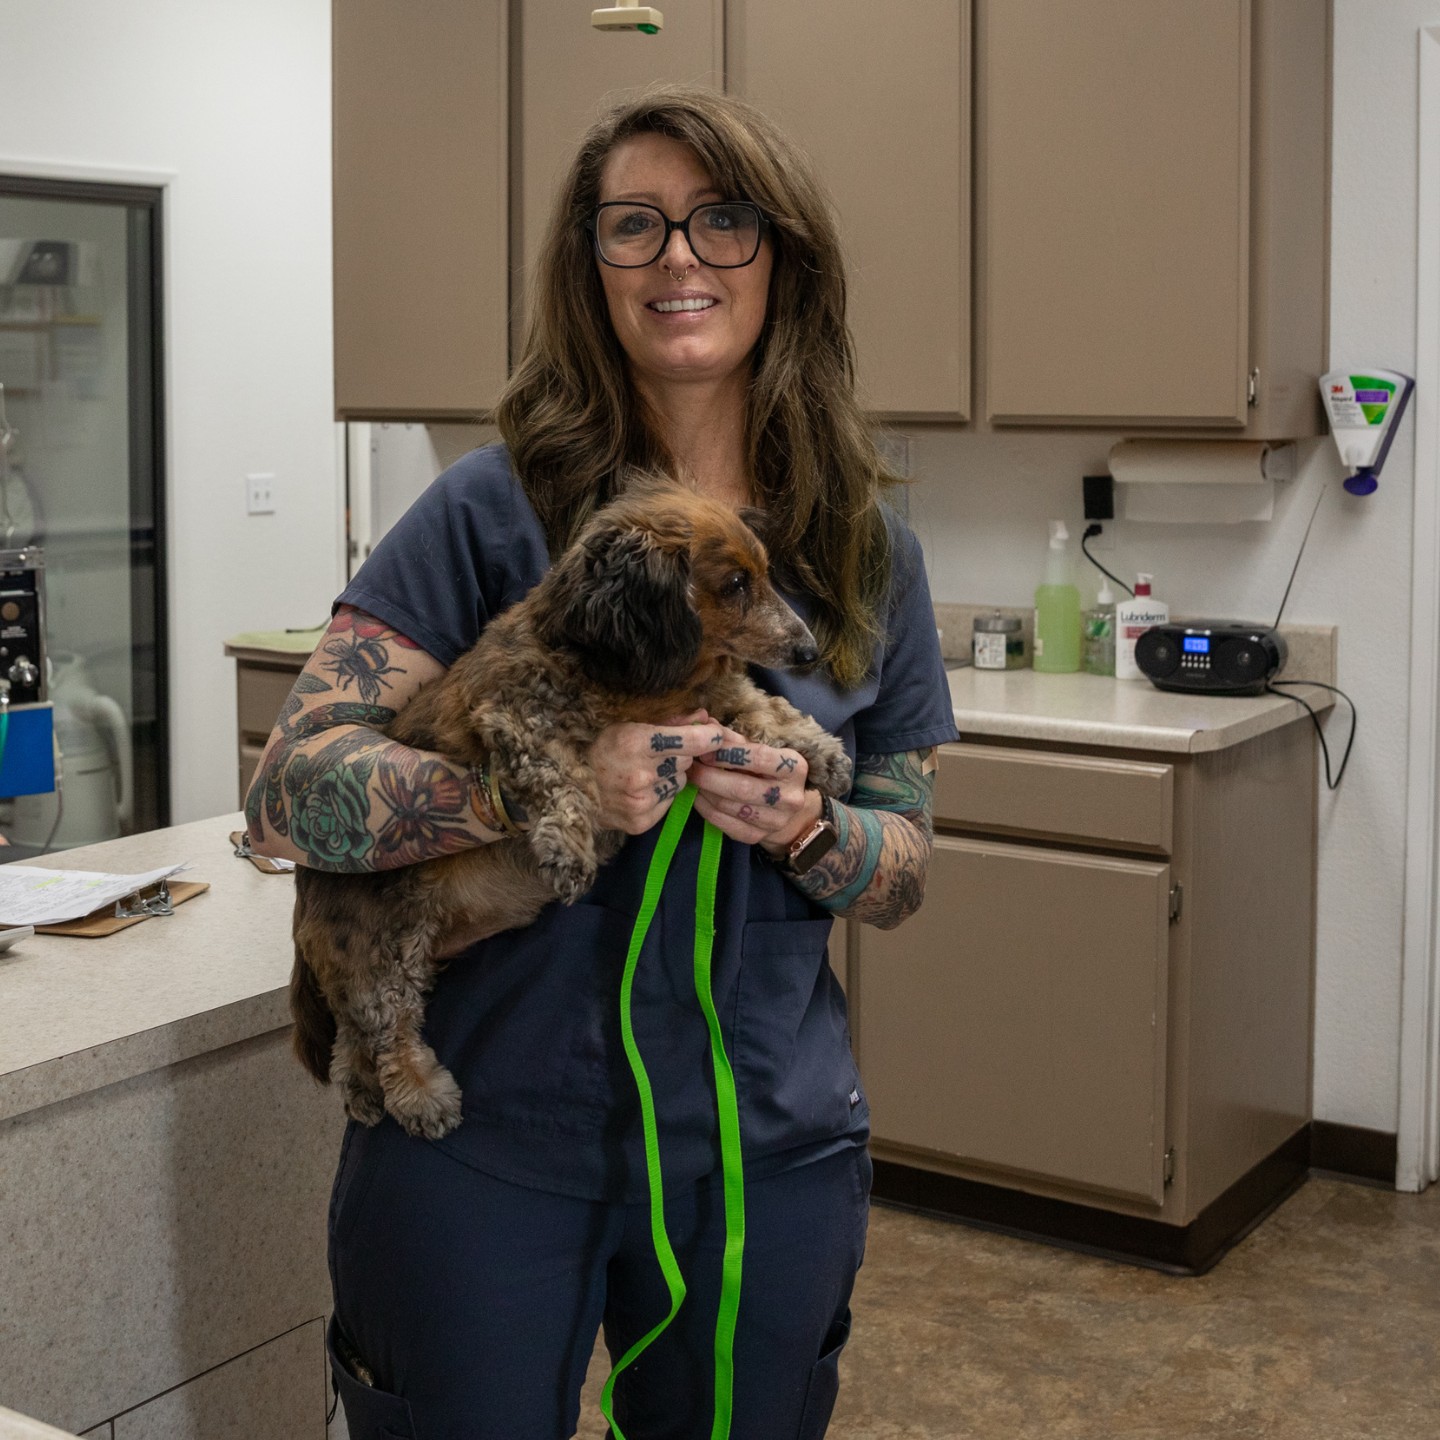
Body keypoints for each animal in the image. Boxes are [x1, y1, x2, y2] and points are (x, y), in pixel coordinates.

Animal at [292, 480, 852, 1134]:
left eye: (764, 574)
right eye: (736, 583)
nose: (809, 650)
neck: (632, 671)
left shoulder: (716, 694)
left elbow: (763, 707)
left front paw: (821, 753)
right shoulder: (519, 718)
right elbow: (564, 779)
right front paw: (571, 848)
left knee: (352, 1035)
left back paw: (362, 1091)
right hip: (386, 938)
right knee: (386, 1026)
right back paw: (418, 1093)